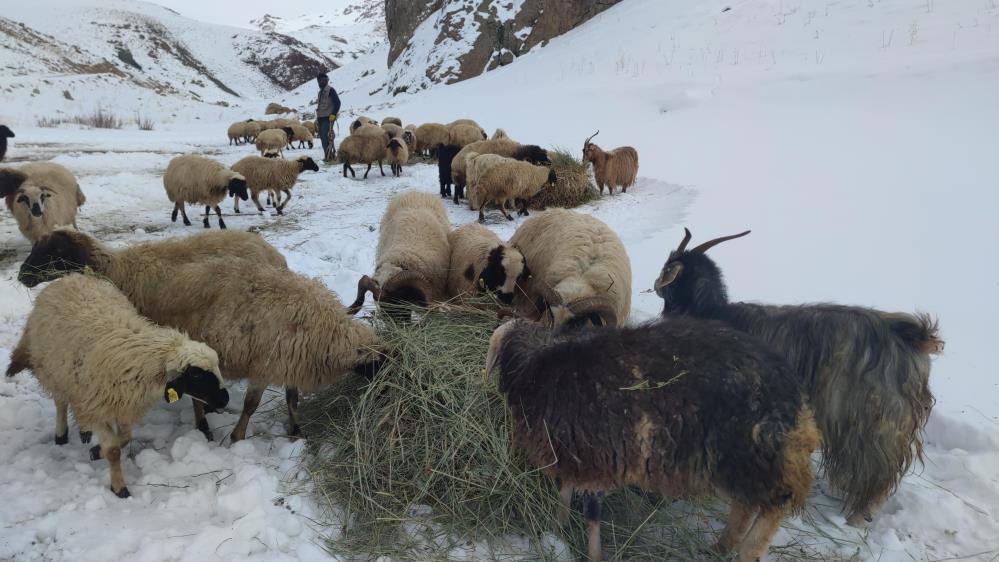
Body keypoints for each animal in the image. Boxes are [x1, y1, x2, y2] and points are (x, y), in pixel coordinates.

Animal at [6, 274, 229, 496]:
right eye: (196, 374)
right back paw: (61, 435)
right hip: (54, 371)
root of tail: (70, 276)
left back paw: (85, 431)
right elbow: (113, 450)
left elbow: (124, 438)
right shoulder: (98, 405)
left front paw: (96, 451)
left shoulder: (124, 403)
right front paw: (119, 487)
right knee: (60, 403)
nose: (225, 399)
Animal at [19, 230, 380, 440]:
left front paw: (295, 430)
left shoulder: (285, 359)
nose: (22, 276)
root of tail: (275, 255)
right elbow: (252, 404)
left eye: (53, 252)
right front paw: (237, 437)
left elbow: (285, 399)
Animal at [484, 318, 820, 560]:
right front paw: (558, 526)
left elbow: (592, 513)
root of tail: (796, 398)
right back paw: (721, 547)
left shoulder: (594, 460)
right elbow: (566, 493)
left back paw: (747, 550)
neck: (536, 366)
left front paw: (592, 553)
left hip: (752, 456)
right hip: (737, 463)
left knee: (774, 504)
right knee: (746, 505)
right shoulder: (575, 454)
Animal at [656, 225, 944, 524]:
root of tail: (916, 337)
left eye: (667, 267)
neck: (711, 312)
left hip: (873, 421)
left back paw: (858, 514)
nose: (656, 287)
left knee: (877, 469)